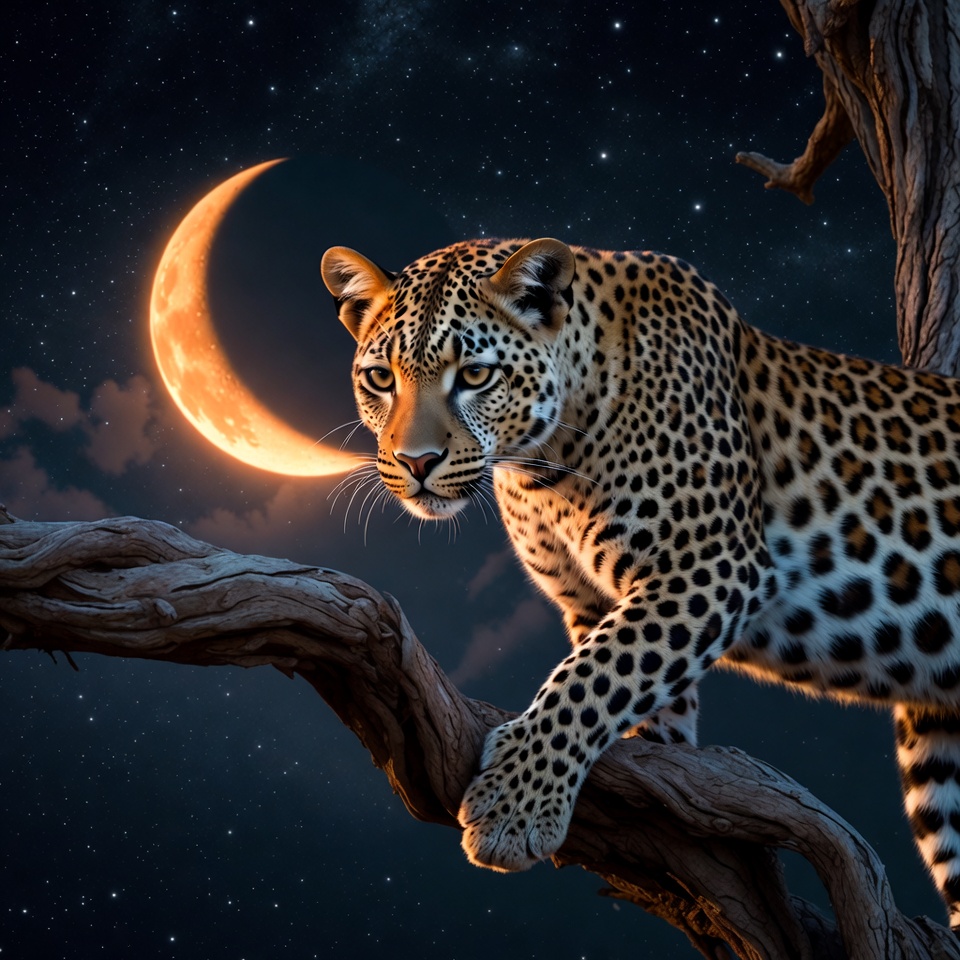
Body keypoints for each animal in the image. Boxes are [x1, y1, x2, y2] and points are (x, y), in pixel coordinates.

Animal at [321, 236, 960, 931]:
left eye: (475, 376)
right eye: (381, 379)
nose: (415, 463)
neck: (545, 466)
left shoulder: (711, 565)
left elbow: (594, 675)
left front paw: (515, 805)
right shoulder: (590, 599)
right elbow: (633, 686)